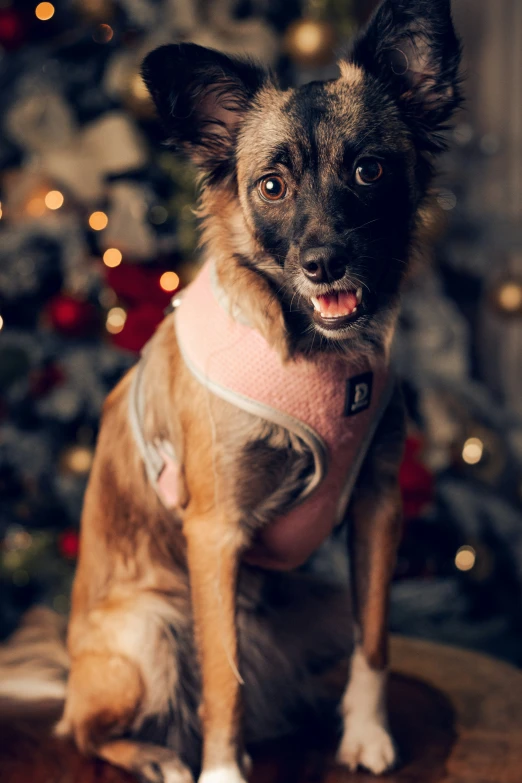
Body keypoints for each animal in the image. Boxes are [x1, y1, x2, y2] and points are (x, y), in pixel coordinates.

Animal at [0, 1, 460, 783]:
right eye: (271, 186)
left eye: (368, 170)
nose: (323, 262)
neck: (312, 356)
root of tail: (70, 668)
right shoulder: (214, 535)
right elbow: (224, 679)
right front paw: (224, 768)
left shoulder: (378, 508)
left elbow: (375, 639)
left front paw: (366, 733)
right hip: (148, 630)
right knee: (86, 728)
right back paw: (154, 753)